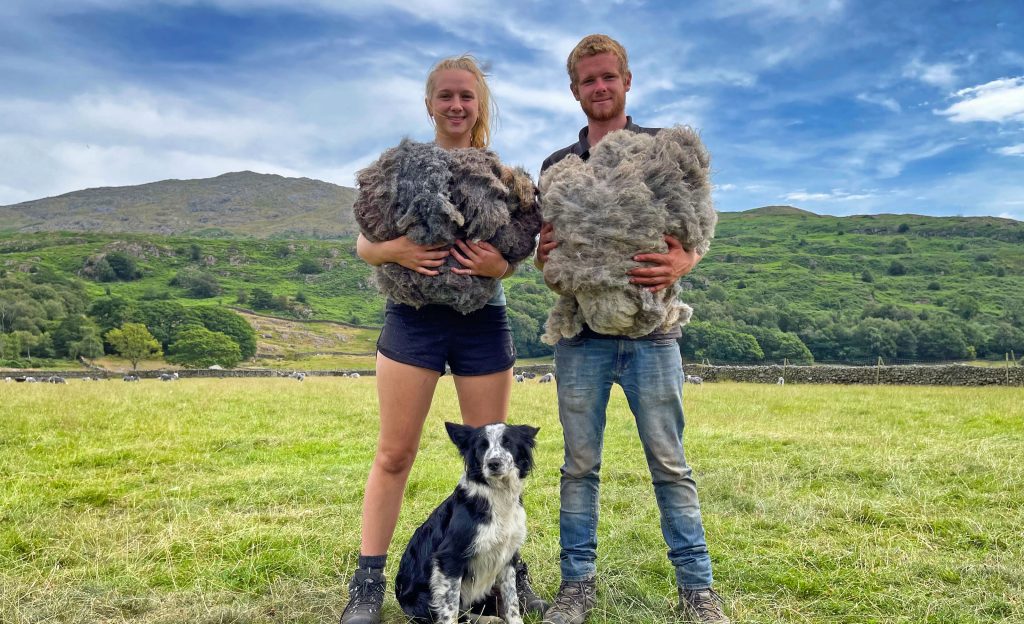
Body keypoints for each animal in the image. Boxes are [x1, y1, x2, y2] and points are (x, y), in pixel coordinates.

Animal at [395, 420, 540, 618]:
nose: (493, 463)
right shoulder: (449, 559)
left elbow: (512, 603)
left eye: (508, 443)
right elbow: (450, 612)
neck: (497, 496)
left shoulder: (508, 557)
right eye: (482, 446)